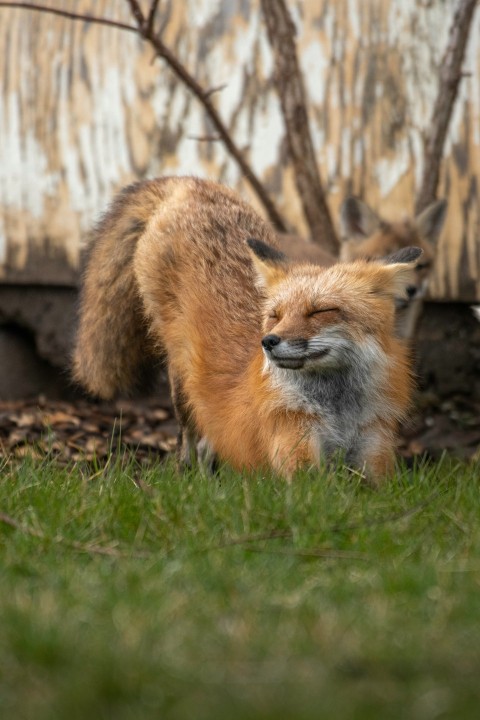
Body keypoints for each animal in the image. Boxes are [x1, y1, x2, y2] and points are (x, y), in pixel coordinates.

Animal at [73, 177, 421, 482]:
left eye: (321, 310)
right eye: (275, 315)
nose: (268, 341)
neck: (338, 411)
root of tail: (192, 183)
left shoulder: (375, 453)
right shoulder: (296, 451)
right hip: (183, 386)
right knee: (190, 445)